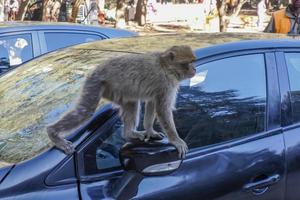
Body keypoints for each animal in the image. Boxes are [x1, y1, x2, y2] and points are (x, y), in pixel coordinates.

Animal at [47, 45, 197, 158]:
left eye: (193, 62)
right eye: (188, 63)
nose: (194, 69)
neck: (166, 67)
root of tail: (95, 70)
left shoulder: (162, 87)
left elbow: (152, 103)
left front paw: (150, 130)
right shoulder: (166, 84)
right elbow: (162, 110)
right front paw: (176, 140)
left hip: (112, 91)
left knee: (131, 103)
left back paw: (129, 134)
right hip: (95, 83)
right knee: (85, 111)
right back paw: (53, 133)